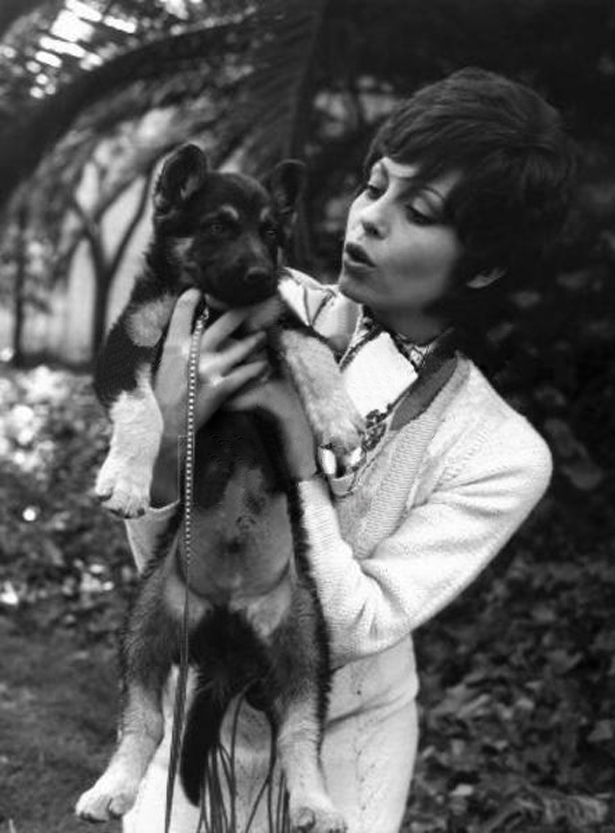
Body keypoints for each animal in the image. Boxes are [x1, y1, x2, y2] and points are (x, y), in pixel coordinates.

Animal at [76, 145, 359, 831]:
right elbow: (144, 408)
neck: (210, 302)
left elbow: (312, 351)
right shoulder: (127, 346)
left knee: (299, 736)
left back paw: (316, 804)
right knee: (145, 723)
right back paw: (110, 789)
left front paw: (338, 421)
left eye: (273, 233)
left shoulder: (278, 322)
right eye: (219, 226)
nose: (261, 274)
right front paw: (126, 480)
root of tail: (228, 623)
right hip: (147, 624)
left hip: (305, 641)